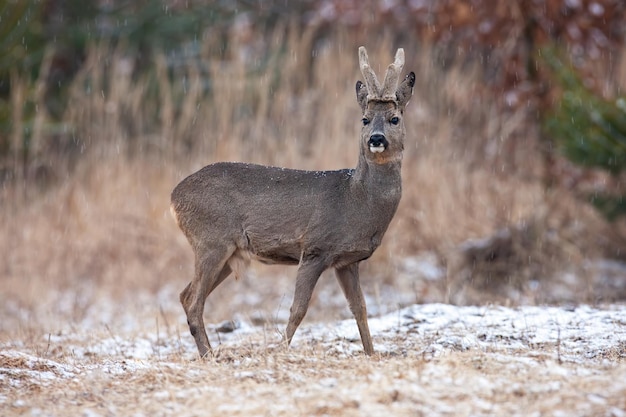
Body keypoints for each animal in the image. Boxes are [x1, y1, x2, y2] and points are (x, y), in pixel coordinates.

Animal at [172, 46, 414, 358]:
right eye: (365, 119)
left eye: (395, 118)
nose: (376, 138)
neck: (356, 199)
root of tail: (174, 197)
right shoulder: (315, 248)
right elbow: (298, 308)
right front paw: (279, 351)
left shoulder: (347, 261)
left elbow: (359, 309)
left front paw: (372, 354)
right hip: (211, 240)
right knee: (193, 300)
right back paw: (210, 356)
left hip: (229, 252)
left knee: (184, 294)